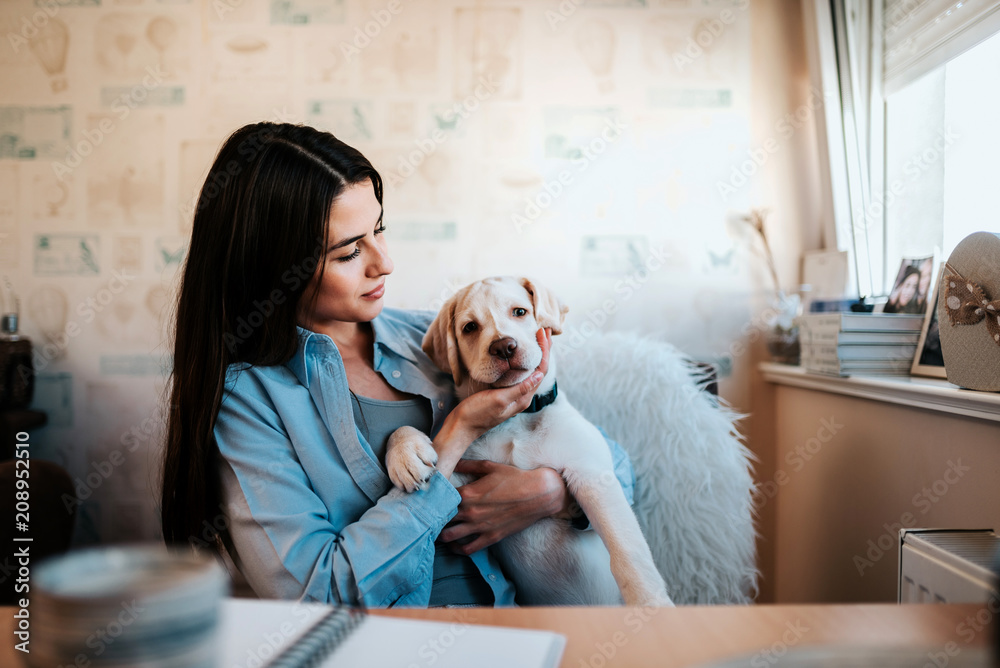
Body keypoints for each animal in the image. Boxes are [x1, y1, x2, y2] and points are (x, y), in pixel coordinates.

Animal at [386, 274, 676, 608]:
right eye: (469, 327)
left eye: (520, 312)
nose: (504, 346)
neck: (516, 421)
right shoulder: (458, 486)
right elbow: (406, 433)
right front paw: (405, 455)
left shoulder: (593, 476)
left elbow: (628, 553)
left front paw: (650, 605)